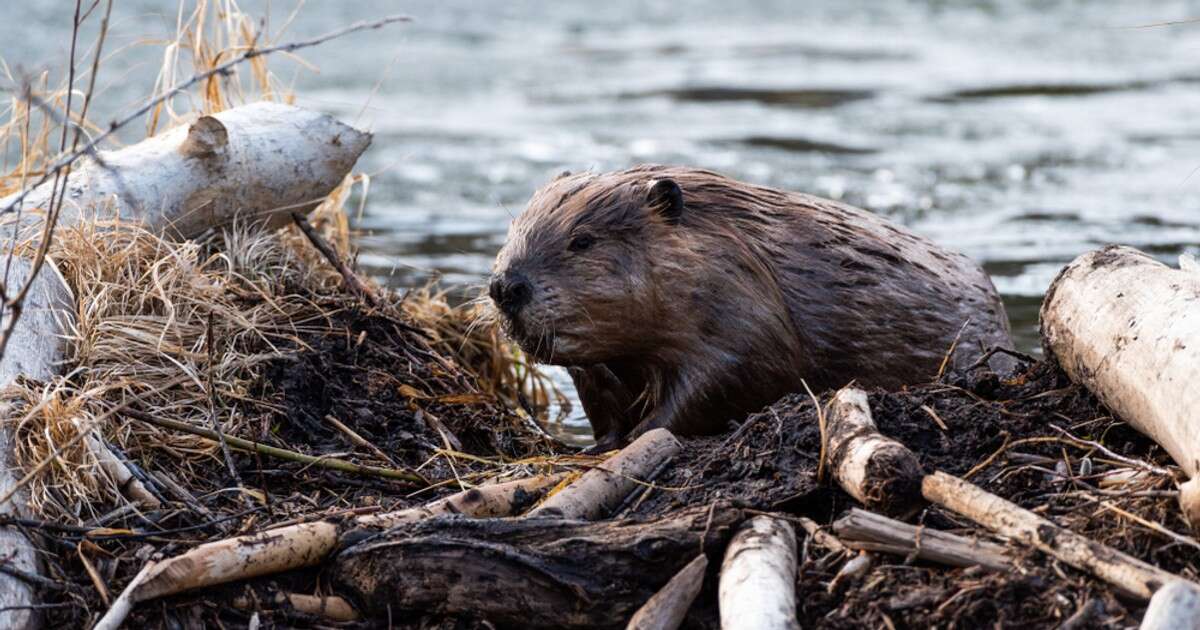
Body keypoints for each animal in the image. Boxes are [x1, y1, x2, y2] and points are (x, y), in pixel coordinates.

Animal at [487, 163, 1012, 446]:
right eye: (513, 229)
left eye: (582, 240)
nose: (505, 286)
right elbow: (601, 399)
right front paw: (599, 446)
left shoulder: (745, 315)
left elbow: (723, 378)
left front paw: (641, 437)